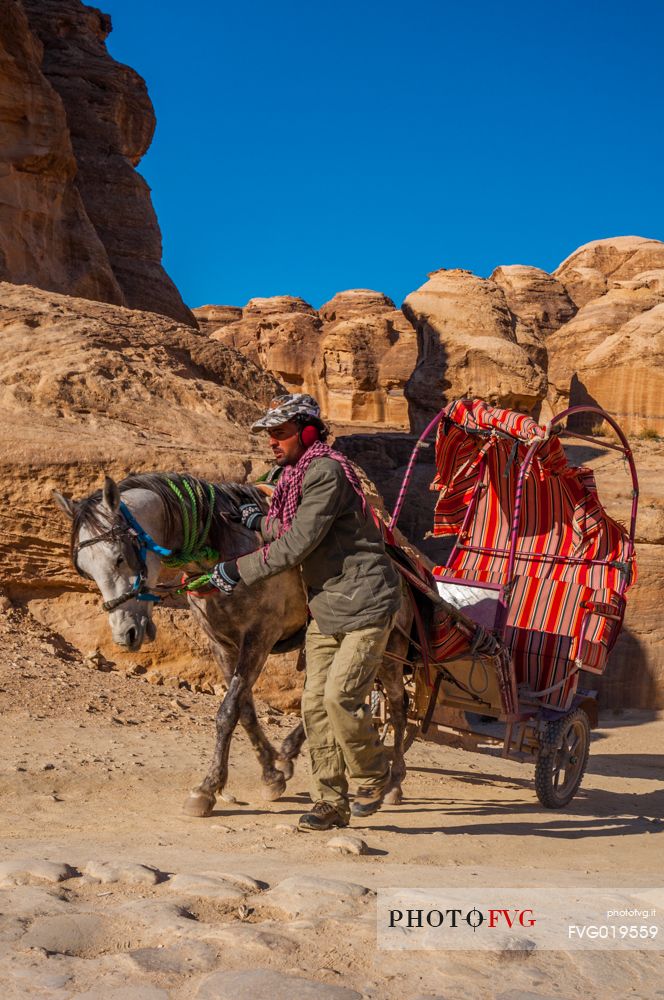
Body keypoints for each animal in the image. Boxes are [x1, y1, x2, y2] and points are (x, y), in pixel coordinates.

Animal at [55, 472, 416, 816]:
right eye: (85, 570)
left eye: (119, 558)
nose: (125, 633)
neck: (224, 547)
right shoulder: (221, 644)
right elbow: (244, 710)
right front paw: (271, 772)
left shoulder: (259, 637)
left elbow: (228, 711)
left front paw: (206, 789)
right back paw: (291, 755)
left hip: (388, 648)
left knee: (397, 706)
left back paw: (394, 784)